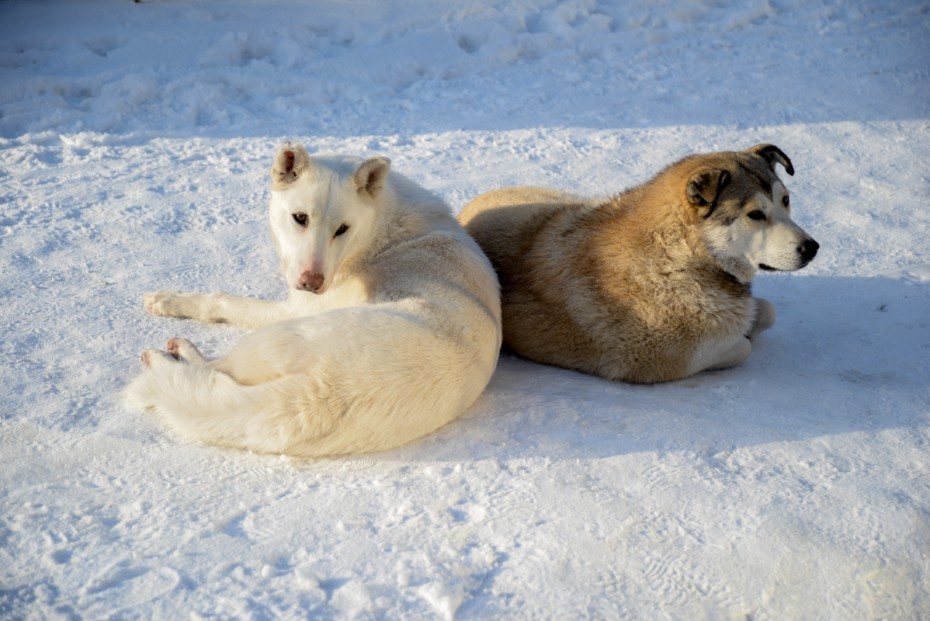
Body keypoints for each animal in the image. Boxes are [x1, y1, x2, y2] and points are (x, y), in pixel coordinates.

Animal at [126, 144, 500, 456]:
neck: (379, 225)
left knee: (214, 369)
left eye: (342, 228)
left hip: (272, 336)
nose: (311, 282)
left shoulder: (289, 308)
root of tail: (324, 390)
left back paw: (169, 355)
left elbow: (222, 300)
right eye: (300, 218)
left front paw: (169, 300)